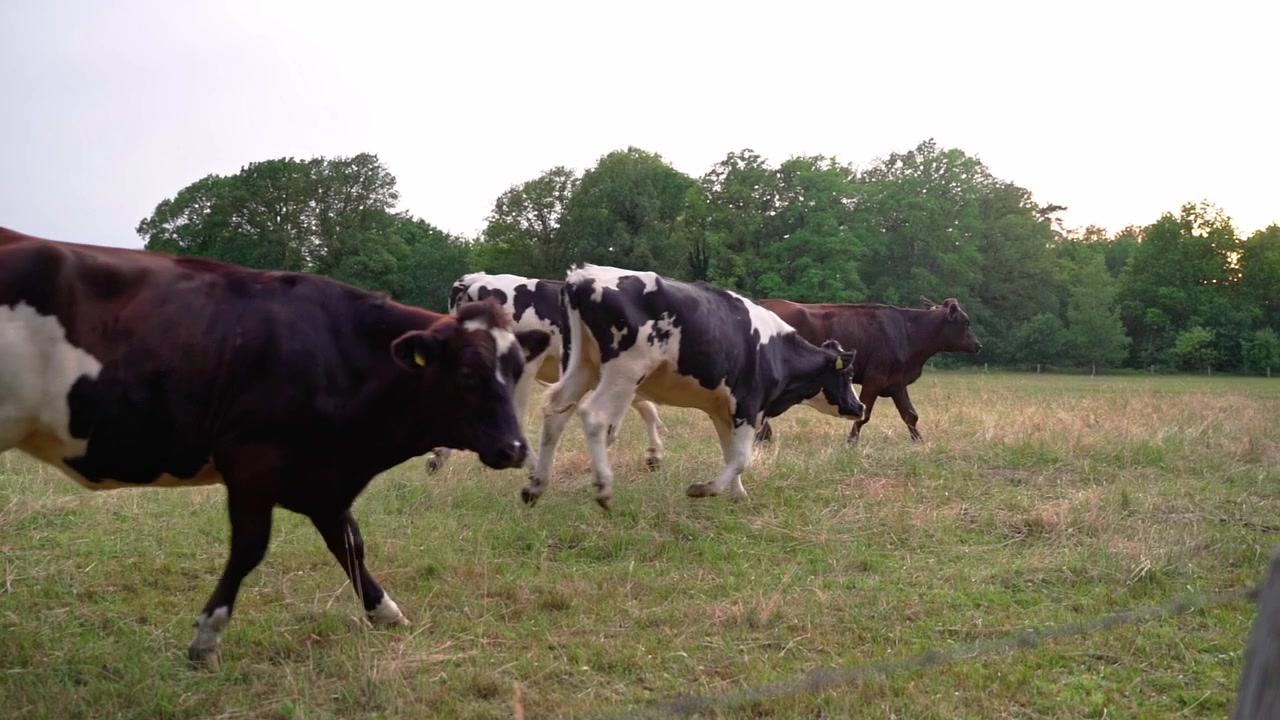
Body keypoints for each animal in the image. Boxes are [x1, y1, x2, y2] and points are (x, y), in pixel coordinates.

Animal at [0, 227, 551, 670]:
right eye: (467, 373)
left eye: (515, 371)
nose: (514, 448)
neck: (336, 355)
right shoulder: (252, 462)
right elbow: (249, 549)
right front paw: (206, 639)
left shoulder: (324, 479)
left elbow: (349, 543)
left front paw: (385, 611)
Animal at [520, 264, 867, 511]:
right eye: (848, 374)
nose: (860, 406)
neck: (775, 351)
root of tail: (581, 278)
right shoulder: (748, 404)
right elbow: (742, 457)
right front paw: (705, 489)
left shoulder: (722, 410)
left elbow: (731, 455)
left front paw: (738, 495)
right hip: (624, 371)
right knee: (594, 415)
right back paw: (603, 487)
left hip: (581, 365)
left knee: (556, 411)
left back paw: (536, 486)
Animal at [754, 296, 982, 446]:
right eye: (966, 322)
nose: (978, 345)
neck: (907, 331)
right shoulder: (875, 378)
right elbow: (864, 415)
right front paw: (851, 442)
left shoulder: (896, 382)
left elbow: (910, 415)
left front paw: (919, 442)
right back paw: (763, 436)